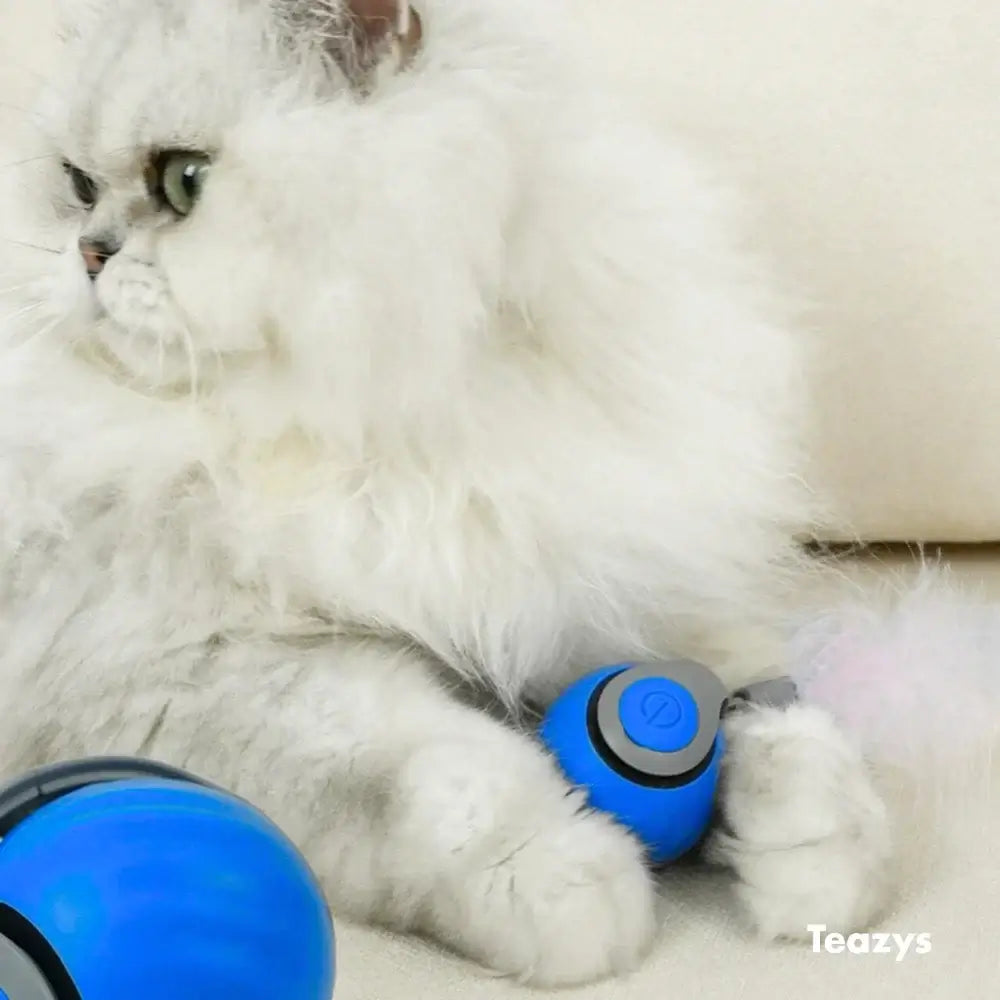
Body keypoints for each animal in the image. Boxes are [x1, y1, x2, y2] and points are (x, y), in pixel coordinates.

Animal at [0, 0, 892, 984]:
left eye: (182, 181)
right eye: (78, 186)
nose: (87, 252)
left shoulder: (595, 575)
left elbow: (773, 710)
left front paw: (815, 862)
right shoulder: (176, 672)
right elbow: (440, 778)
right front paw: (575, 879)